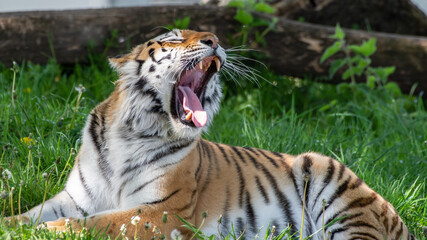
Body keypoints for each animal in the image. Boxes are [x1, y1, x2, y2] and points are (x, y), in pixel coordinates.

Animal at [5, 29, 416, 239]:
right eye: (173, 39)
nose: (214, 38)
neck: (131, 132)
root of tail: (397, 217)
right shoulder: (75, 198)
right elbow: (28, 214)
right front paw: (10, 225)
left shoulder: (164, 209)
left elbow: (97, 223)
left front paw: (52, 231)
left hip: (335, 188)